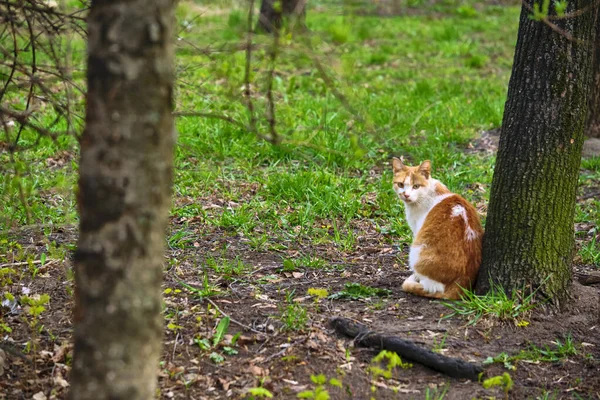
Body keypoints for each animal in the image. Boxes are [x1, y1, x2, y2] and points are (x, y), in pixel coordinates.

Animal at [392, 158, 486, 298]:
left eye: (416, 186)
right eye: (401, 184)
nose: (406, 195)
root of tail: (460, 284)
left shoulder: (417, 230)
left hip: (416, 251)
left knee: (431, 287)